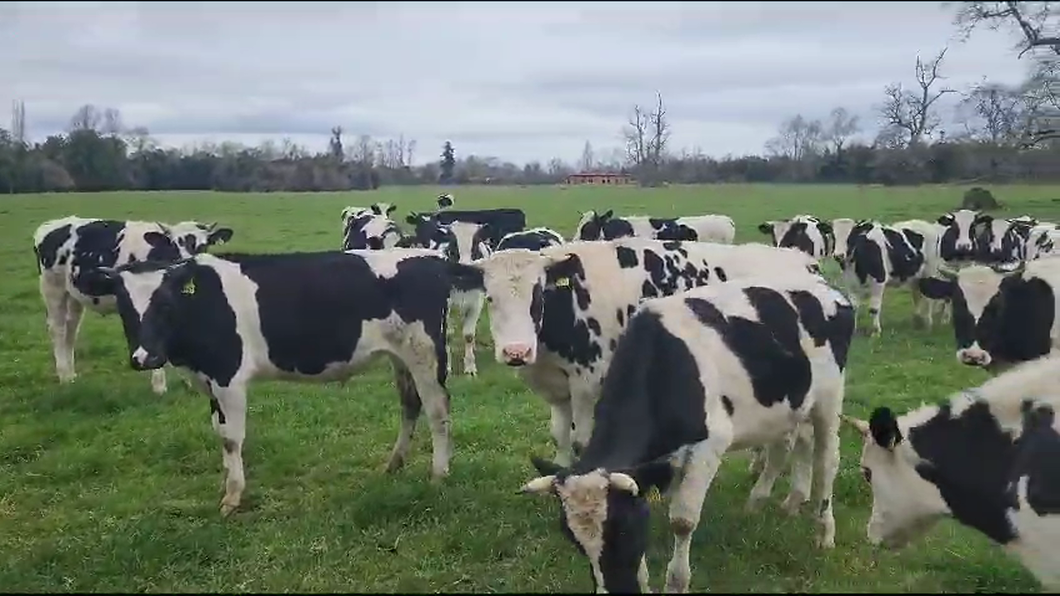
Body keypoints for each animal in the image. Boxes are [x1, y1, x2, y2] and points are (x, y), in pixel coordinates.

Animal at [32, 216, 234, 395]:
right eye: (173, 244)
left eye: (203, 245)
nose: (185, 263)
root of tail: (51, 224)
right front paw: (159, 387)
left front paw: (188, 382)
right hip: (52, 289)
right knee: (58, 329)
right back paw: (64, 377)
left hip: (74, 295)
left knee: (71, 330)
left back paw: (71, 374)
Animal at [73, 248, 462, 515]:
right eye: (124, 308)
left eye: (165, 304)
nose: (146, 358)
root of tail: (432, 258)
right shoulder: (210, 380)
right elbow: (219, 432)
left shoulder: (228, 376)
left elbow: (232, 437)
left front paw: (232, 496)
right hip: (401, 358)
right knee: (410, 405)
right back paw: (393, 464)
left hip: (425, 354)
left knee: (438, 410)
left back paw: (439, 474)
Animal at [443, 237, 823, 472]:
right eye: (490, 298)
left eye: (538, 295)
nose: (516, 352)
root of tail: (801, 260)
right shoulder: (557, 388)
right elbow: (560, 436)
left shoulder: (587, 383)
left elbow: (581, 440)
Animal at [519, 273, 854, 593]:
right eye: (574, 540)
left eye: (623, 528)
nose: (616, 590)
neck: (666, 365)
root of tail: (826, 285)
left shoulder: (708, 446)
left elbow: (682, 522)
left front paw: (676, 584)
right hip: (792, 404)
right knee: (792, 444)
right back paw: (778, 502)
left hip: (829, 398)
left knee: (826, 461)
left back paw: (824, 531)